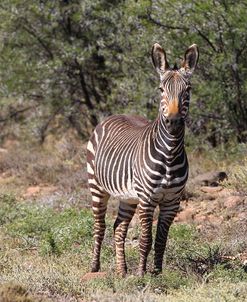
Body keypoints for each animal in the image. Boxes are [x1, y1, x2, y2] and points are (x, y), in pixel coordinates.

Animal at [87, 42, 199, 276]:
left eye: (188, 90)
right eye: (161, 90)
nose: (174, 122)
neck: (170, 154)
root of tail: (114, 114)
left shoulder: (172, 202)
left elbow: (161, 241)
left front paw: (156, 273)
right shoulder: (147, 199)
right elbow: (146, 240)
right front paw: (141, 274)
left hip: (128, 197)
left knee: (118, 228)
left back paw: (121, 271)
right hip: (97, 187)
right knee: (99, 226)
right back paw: (95, 267)